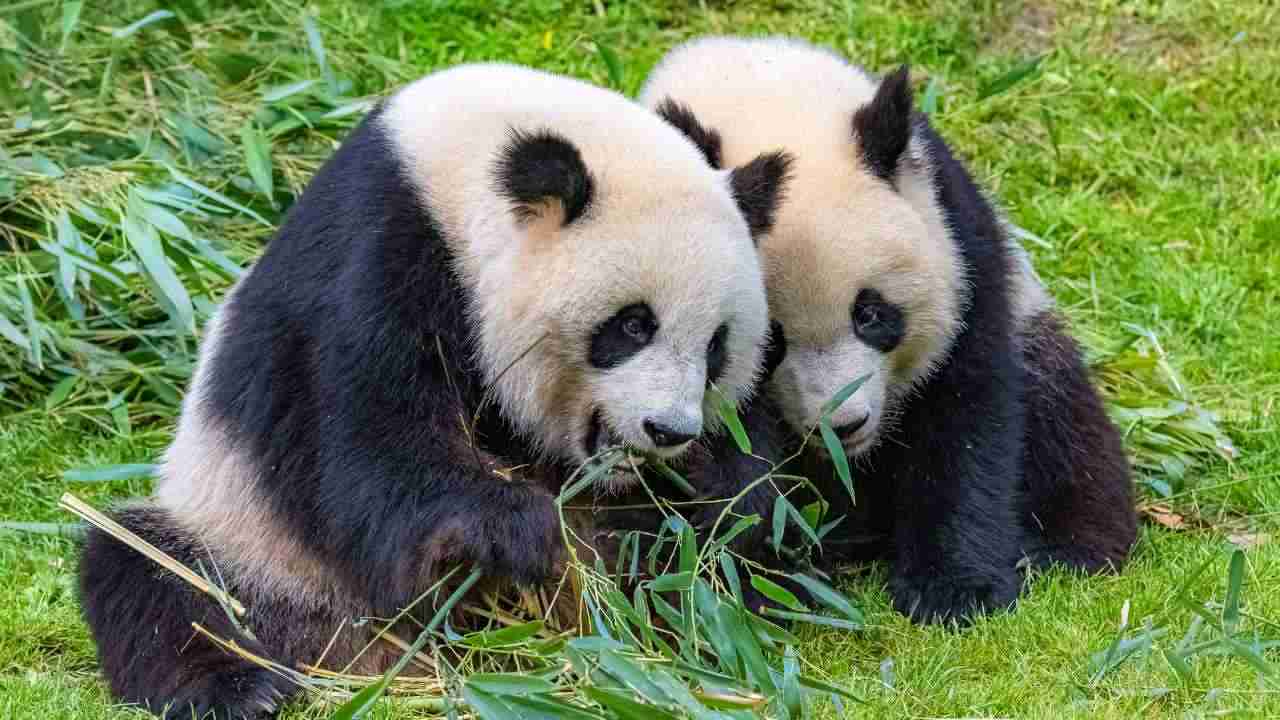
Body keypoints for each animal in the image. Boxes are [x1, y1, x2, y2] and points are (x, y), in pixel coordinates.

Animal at [79, 62, 791, 719]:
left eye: (717, 346)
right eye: (633, 324)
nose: (669, 430)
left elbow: (755, 487)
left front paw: (724, 498)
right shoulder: (375, 253)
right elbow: (363, 442)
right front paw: (515, 528)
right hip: (248, 543)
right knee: (149, 573)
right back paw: (239, 690)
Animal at [640, 36, 1137, 624]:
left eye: (871, 314)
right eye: (773, 340)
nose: (844, 425)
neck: (761, 85)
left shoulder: (962, 245)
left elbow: (966, 416)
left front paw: (953, 590)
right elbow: (725, 451)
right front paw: (762, 575)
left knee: (1063, 416)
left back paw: (1064, 546)